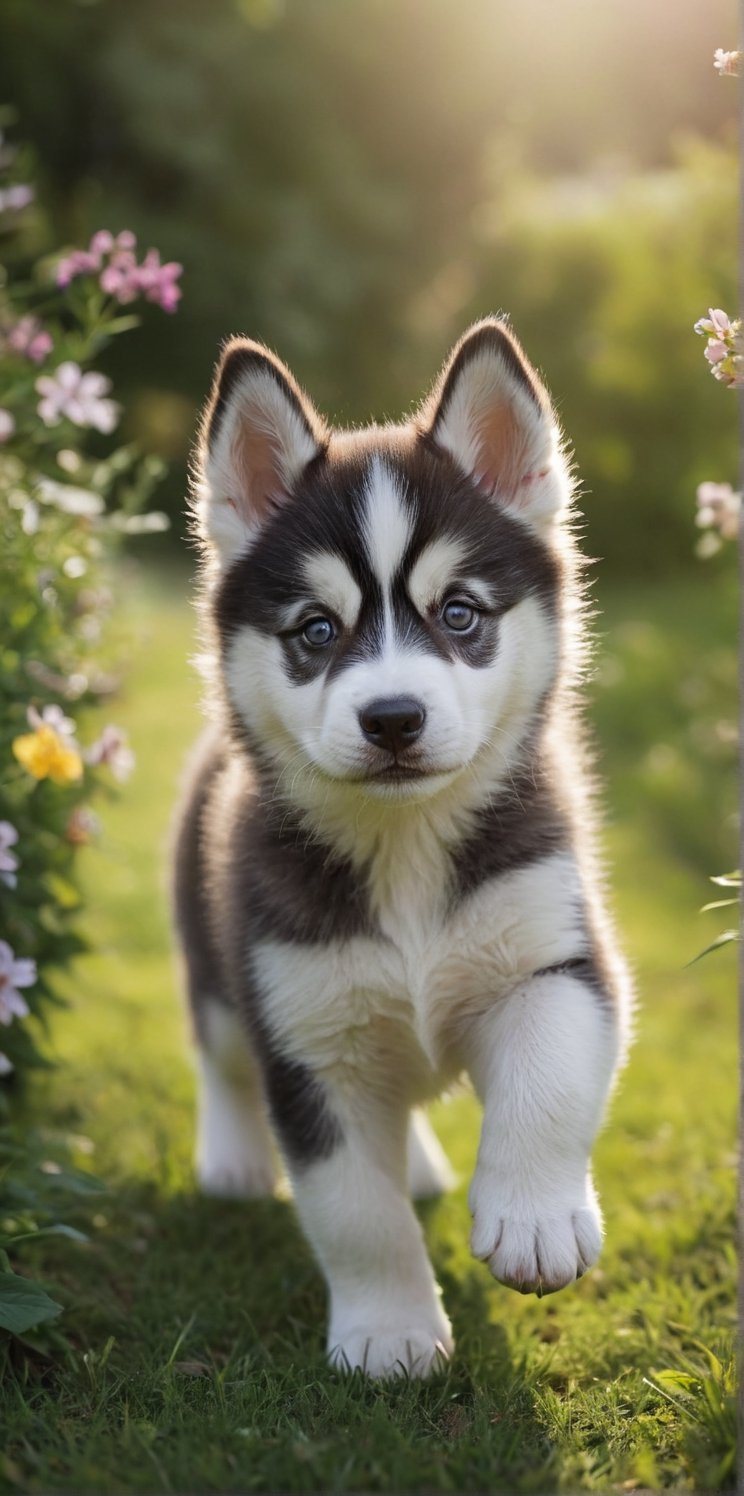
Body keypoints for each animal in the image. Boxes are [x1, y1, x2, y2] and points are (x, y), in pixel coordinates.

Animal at [171, 321, 628, 1382]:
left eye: (459, 613)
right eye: (315, 630)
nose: (391, 718)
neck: (405, 850)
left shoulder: (558, 954)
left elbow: (548, 1080)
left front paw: (535, 1218)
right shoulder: (305, 1041)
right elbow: (355, 1211)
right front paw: (390, 1332)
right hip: (218, 967)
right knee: (216, 1051)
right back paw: (233, 1156)